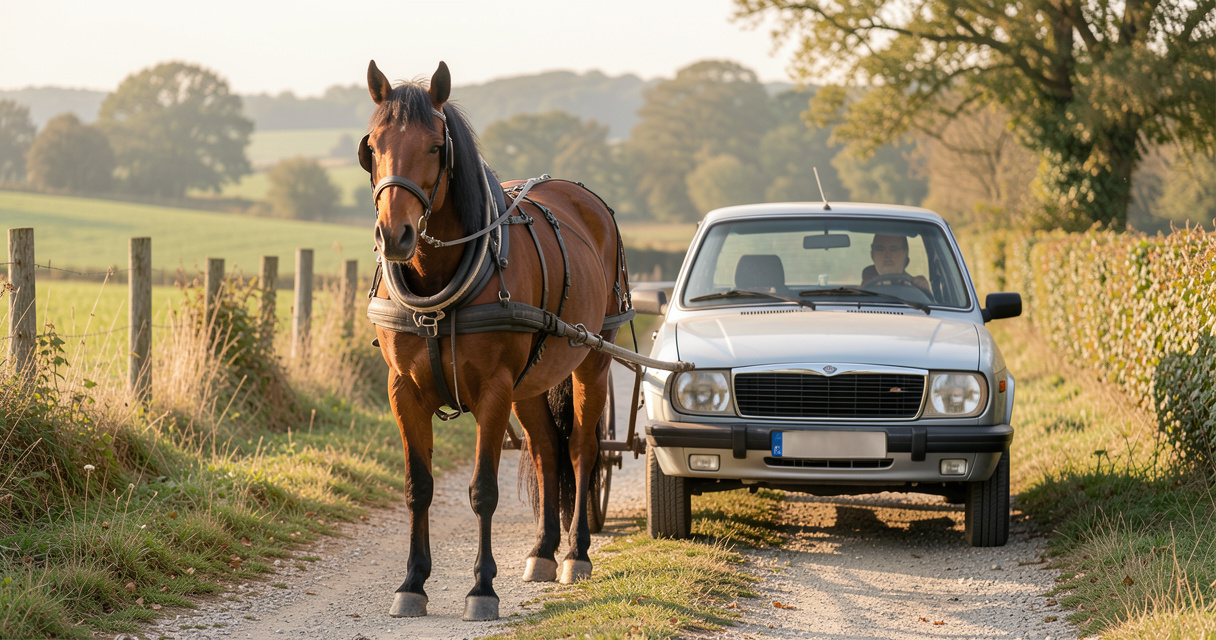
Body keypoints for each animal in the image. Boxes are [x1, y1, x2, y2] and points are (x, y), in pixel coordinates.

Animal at [359, 60, 631, 621]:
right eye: (372, 146)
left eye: (435, 147)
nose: (394, 236)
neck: (440, 289)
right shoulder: (404, 391)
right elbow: (418, 487)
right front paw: (412, 583)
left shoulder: (493, 390)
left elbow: (483, 489)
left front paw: (482, 589)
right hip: (531, 382)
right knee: (547, 450)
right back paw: (543, 552)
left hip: (591, 360)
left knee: (582, 450)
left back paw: (575, 554)